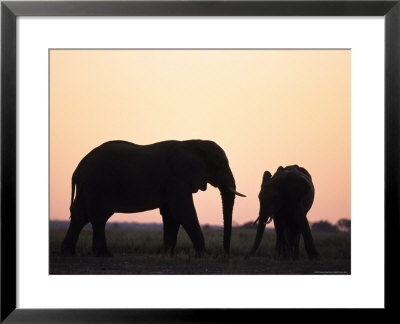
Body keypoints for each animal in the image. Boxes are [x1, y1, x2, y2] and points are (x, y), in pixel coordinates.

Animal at [61, 139, 245, 256]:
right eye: (220, 166)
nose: (225, 253)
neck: (192, 143)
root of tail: (78, 168)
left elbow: (171, 215)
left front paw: (168, 254)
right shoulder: (176, 180)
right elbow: (183, 212)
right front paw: (203, 254)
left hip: (87, 187)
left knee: (80, 216)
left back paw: (69, 253)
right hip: (97, 185)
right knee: (98, 217)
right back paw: (104, 255)